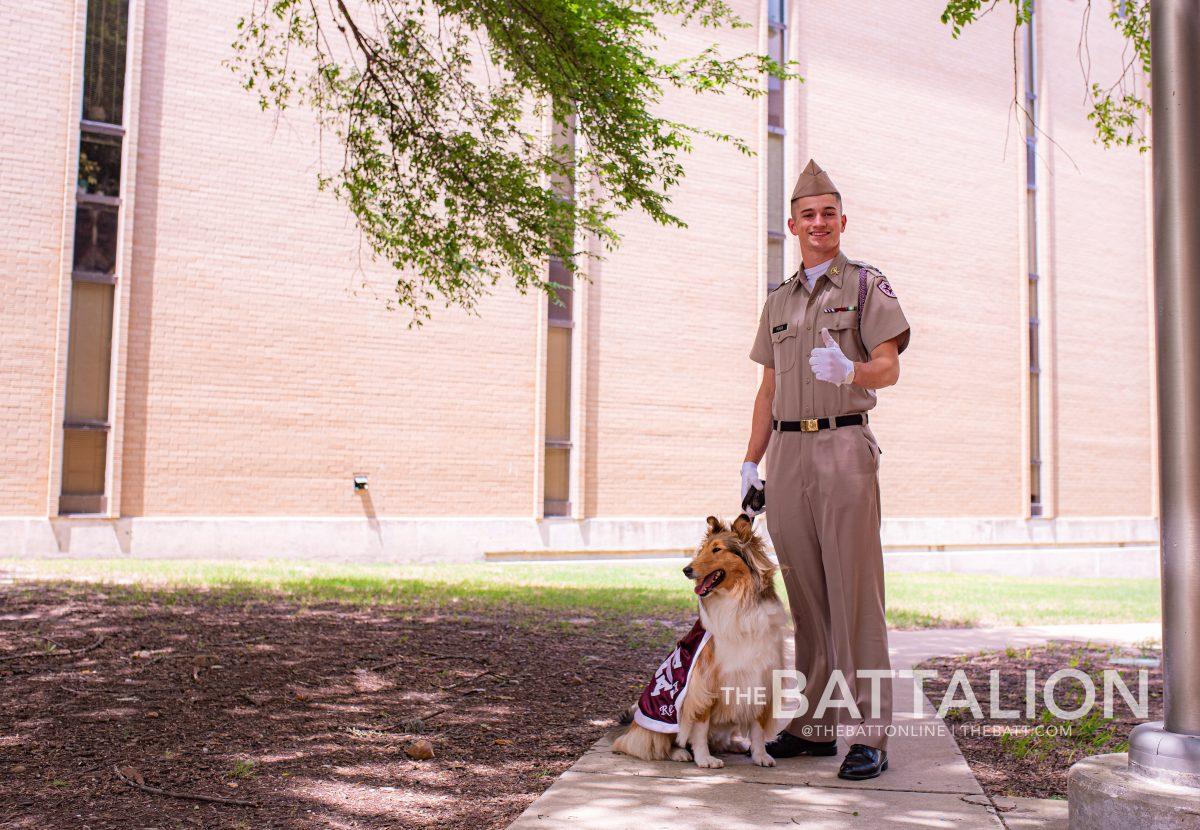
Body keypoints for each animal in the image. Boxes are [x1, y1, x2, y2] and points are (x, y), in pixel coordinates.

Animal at [614, 515, 792, 767]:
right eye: (703, 550)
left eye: (717, 549)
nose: (686, 570)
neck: (739, 601)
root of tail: (632, 728)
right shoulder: (703, 684)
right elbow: (699, 726)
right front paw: (704, 758)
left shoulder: (762, 678)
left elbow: (757, 728)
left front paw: (760, 755)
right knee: (658, 744)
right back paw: (680, 753)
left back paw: (736, 745)